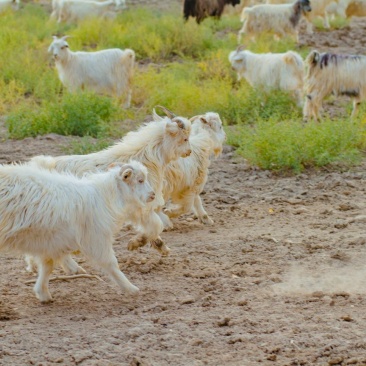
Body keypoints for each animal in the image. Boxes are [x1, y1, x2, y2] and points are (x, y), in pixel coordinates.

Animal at [0, 161, 153, 304]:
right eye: (140, 180)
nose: (153, 194)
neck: (105, 196)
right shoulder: (95, 238)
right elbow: (111, 264)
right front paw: (131, 288)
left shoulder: (50, 242)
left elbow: (48, 266)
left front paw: (43, 293)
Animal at [29, 110, 192, 258]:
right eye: (185, 138)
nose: (189, 152)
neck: (145, 157)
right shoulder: (140, 206)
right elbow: (156, 225)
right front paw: (137, 243)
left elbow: (156, 226)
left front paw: (160, 246)